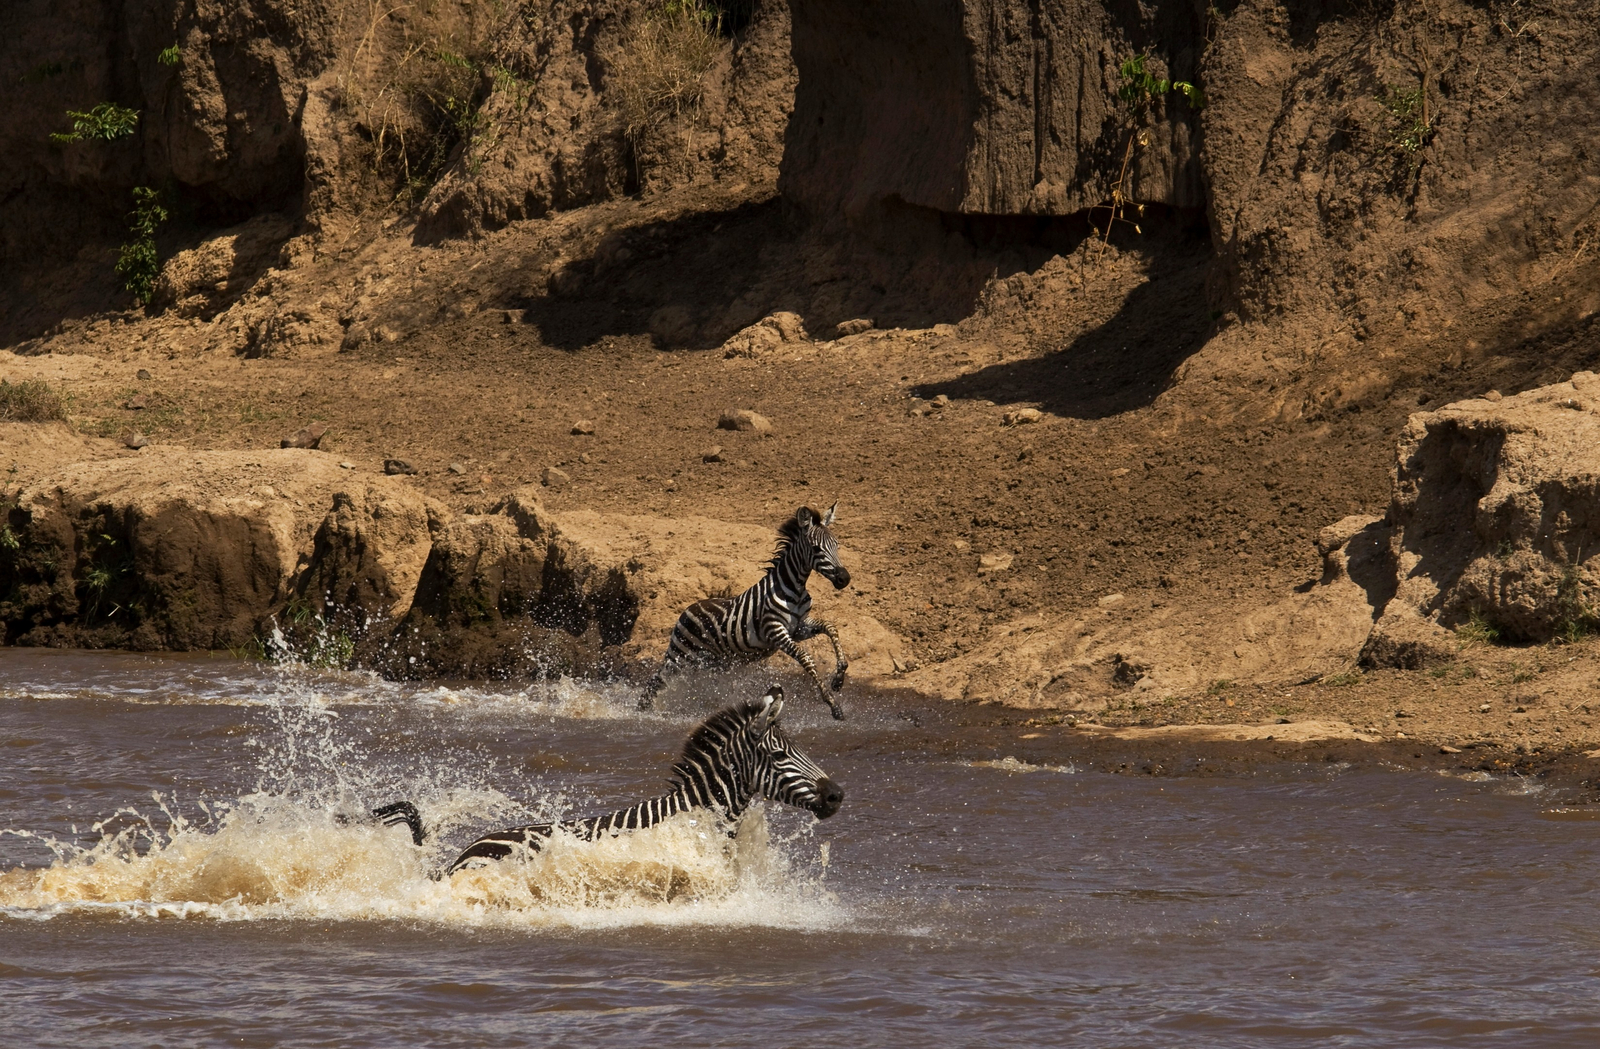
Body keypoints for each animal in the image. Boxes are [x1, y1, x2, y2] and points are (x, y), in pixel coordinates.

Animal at [641, 503, 852, 719]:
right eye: (816, 548)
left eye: (837, 545)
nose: (844, 579)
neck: (795, 587)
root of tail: (685, 610)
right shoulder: (775, 631)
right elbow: (806, 659)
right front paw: (833, 705)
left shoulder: (798, 628)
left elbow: (830, 627)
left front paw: (839, 678)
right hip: (681, 655)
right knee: (656, 680)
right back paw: (642, 710)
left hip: (712, 662)